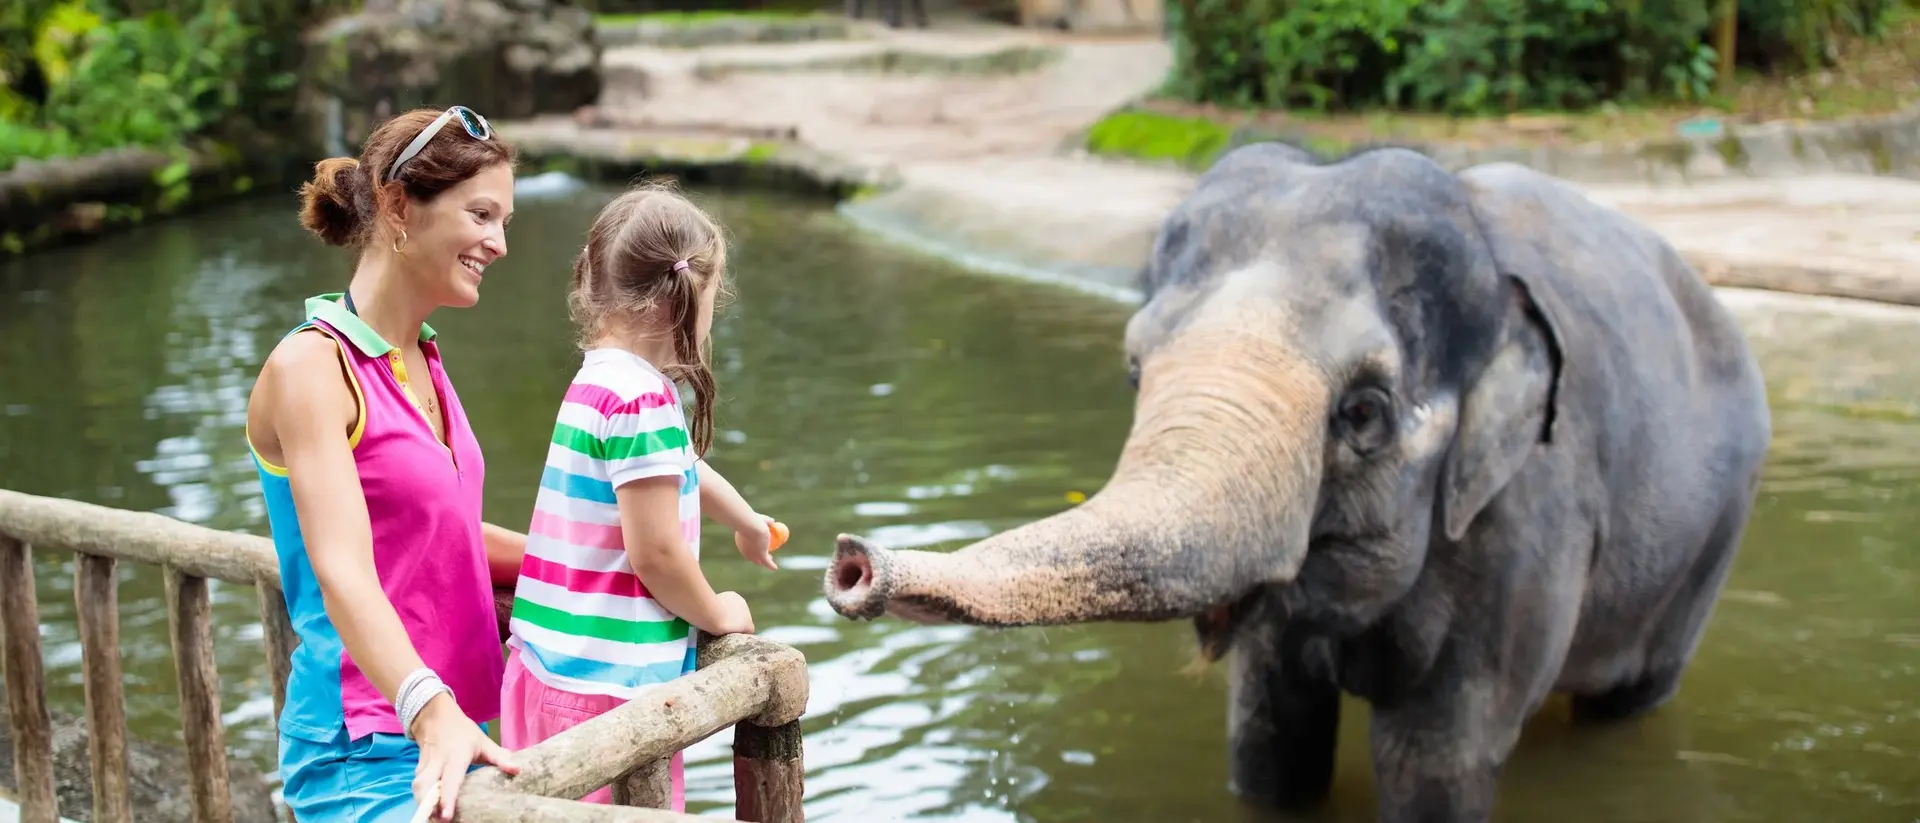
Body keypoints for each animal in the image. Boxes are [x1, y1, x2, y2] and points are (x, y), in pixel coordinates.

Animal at [822, 143, 1773, 822]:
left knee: (1631, 696)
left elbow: (1434, 758)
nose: (851, 563)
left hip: (1715, 534)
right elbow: (1269, 740)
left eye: (1364, 411)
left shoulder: (1528, 515)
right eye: (1134, 370)